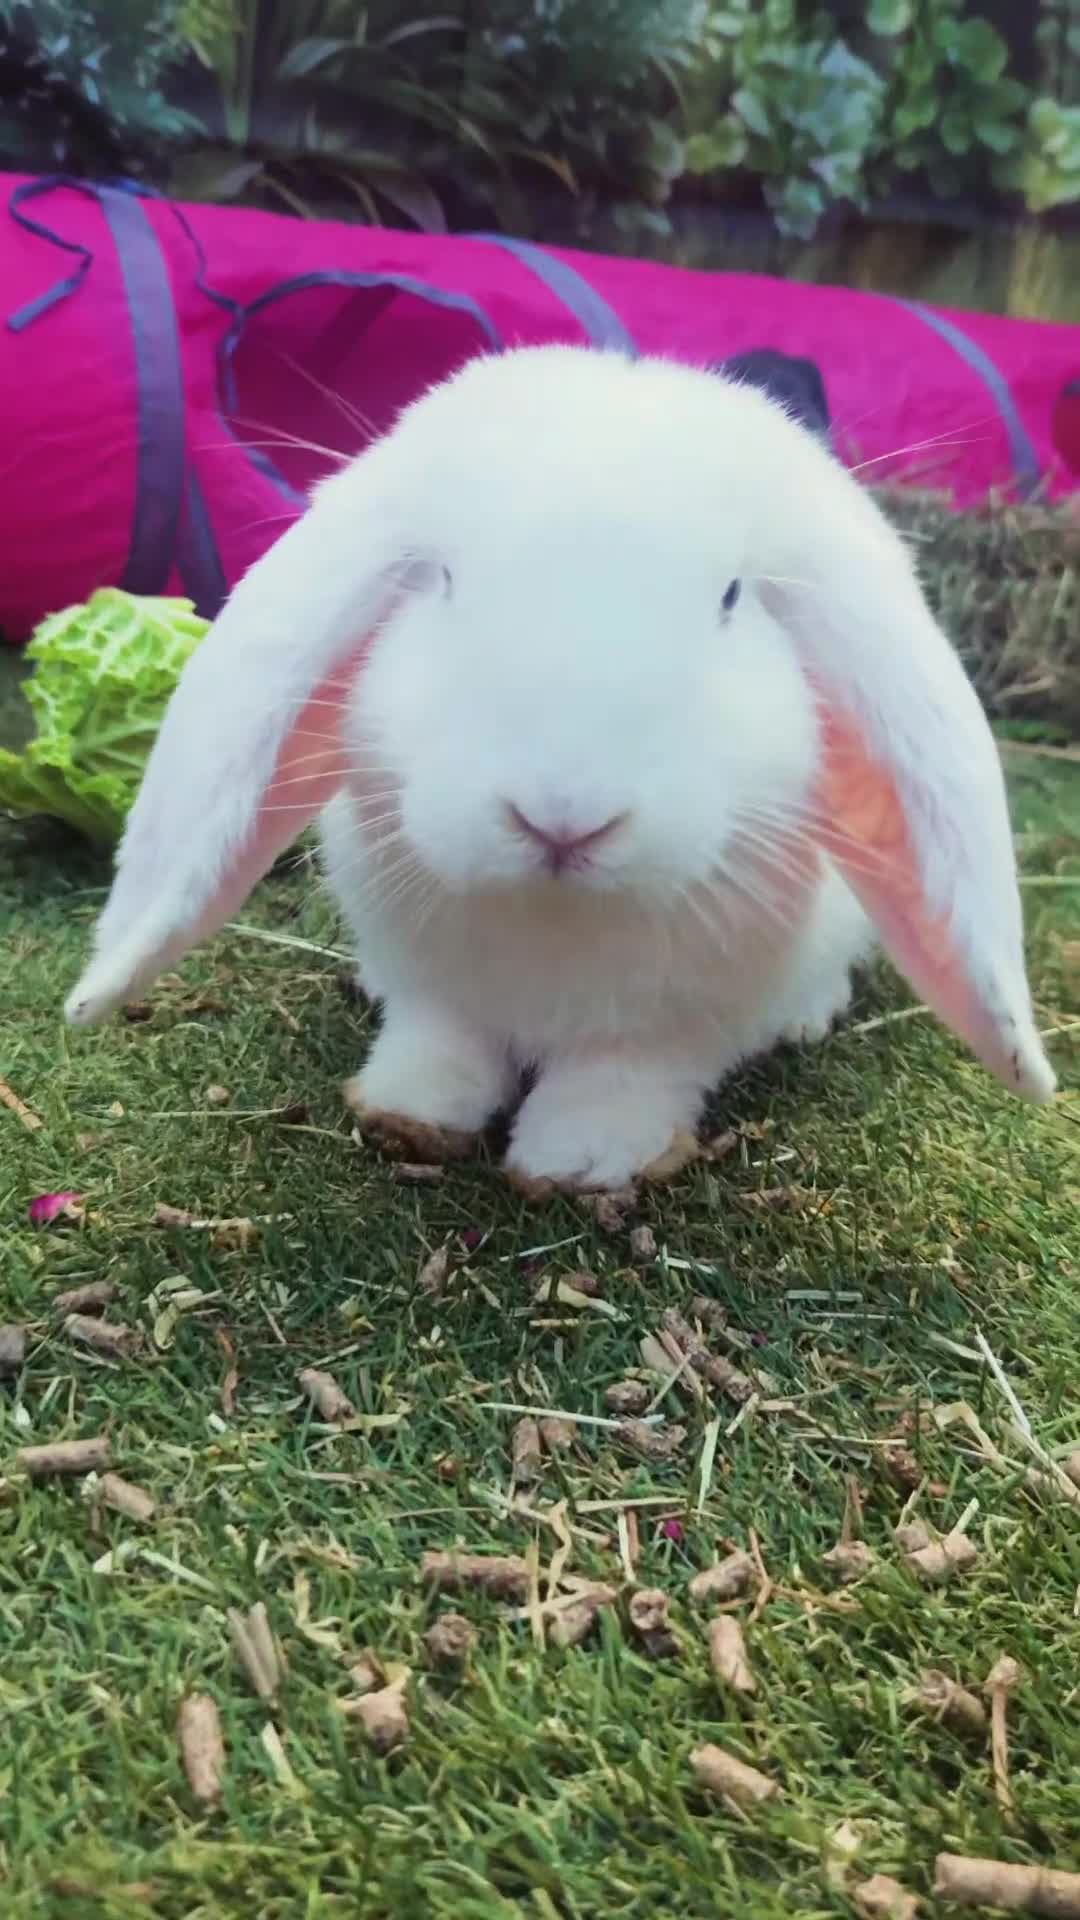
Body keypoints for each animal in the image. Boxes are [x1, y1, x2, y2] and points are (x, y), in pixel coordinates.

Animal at [65, 344, 1055, 1190]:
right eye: (444, 580)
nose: (562, 817)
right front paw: (409, 1114)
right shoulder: (436, 989)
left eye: (732, 598)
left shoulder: (676, 1031)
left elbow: (625, 1078)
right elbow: (441, 1040)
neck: (555, 921)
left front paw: (578, 1163)